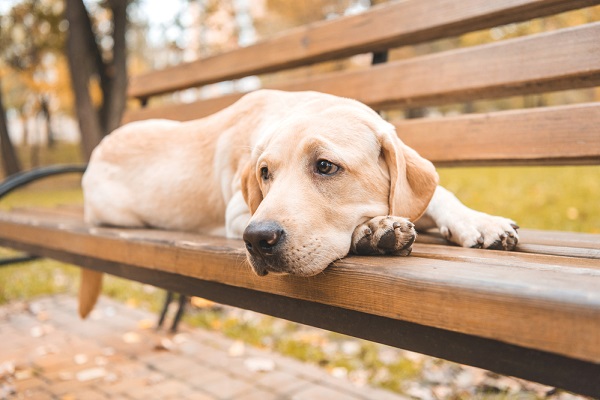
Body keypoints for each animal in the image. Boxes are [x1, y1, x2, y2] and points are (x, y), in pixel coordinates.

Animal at [78, 90, 520, 318]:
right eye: (264, 173)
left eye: (325, 166)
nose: (257, 240)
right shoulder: (238, 212)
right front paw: (373, 230)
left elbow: (437, 194)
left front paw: (478, 221)